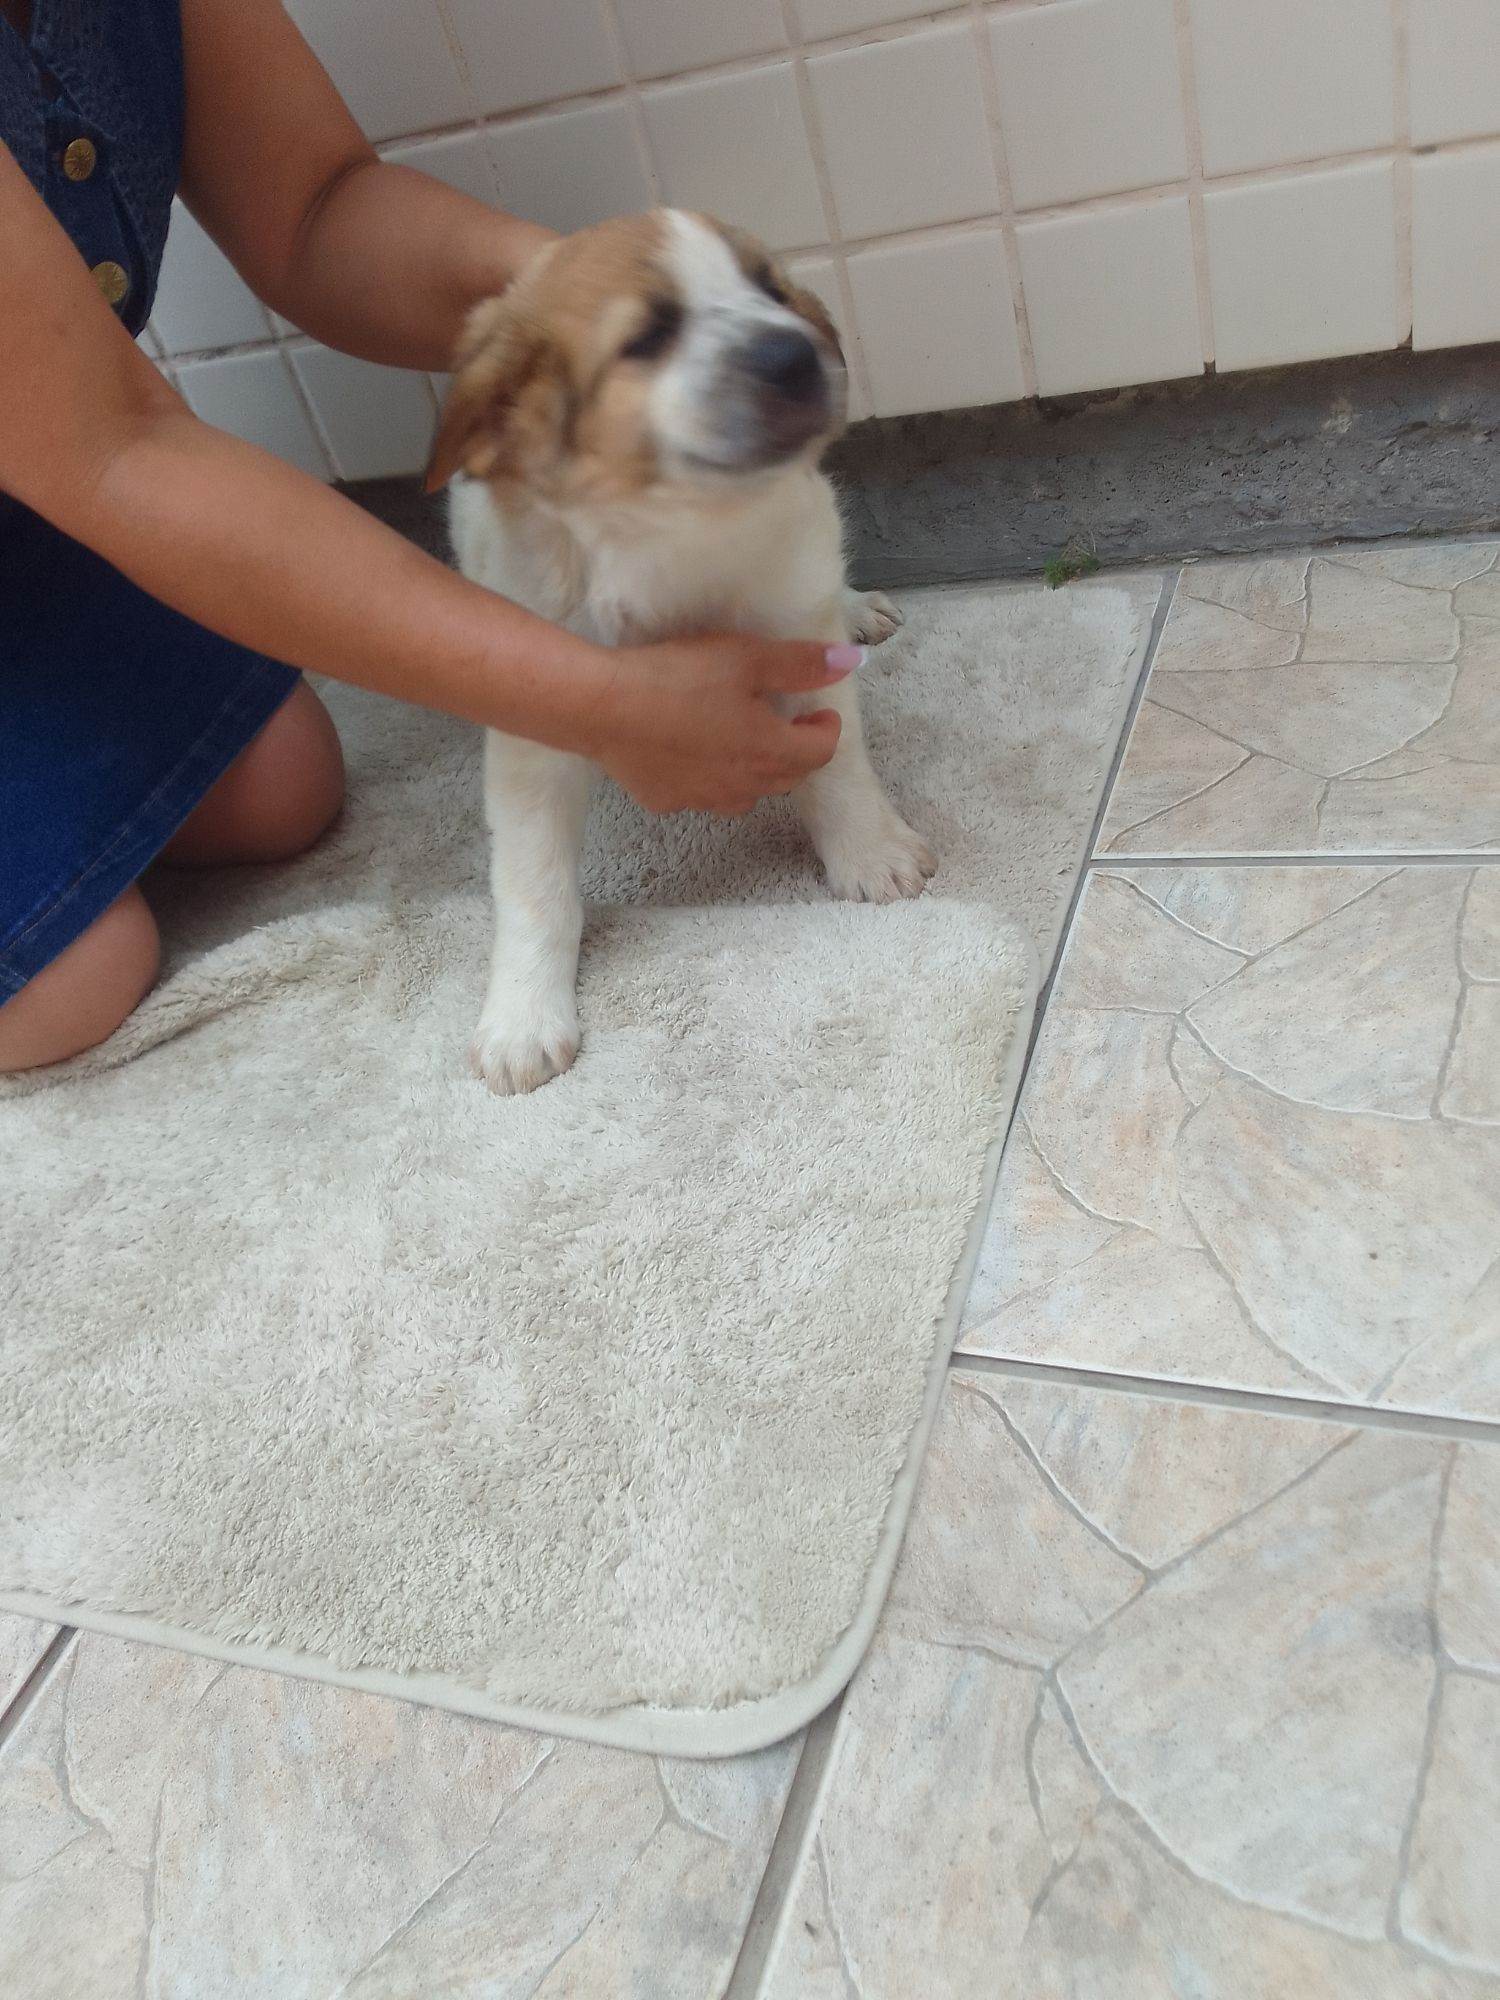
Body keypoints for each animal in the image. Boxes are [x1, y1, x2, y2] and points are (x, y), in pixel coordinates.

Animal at [426, 208, 935, 1094]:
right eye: (651, 333)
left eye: (770, 290)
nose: (795, 352)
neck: (674, 538)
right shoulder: (536, 728)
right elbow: (533, 882)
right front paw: (523, 1013)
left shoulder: (802, 641)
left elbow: (837, 768)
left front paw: (871, 854)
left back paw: (856, 605)